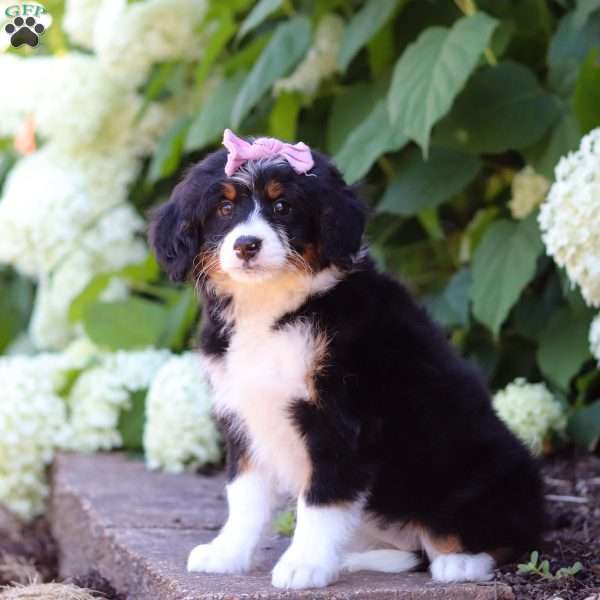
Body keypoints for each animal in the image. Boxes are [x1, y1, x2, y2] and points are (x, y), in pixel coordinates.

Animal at [150, 132, 544, 592]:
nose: (247, 245)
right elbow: (244, 494)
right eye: (224, 209)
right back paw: (359, 559)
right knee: (410, 549)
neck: (273, 308)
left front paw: (303, 565)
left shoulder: (339, 419)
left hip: (477, 471)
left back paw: (459, 562)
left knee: (493, 536)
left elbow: (322, 500)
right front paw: (227, 553)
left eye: (283, 207)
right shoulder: (245, 417)